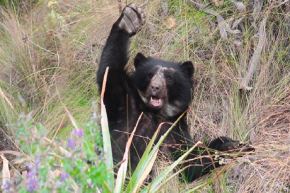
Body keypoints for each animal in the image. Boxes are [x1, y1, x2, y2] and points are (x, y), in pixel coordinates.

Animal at [97, 4, 251, 182]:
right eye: (150, 74)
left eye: (169, 78)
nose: (155, 87)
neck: (156, 114)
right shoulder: (125, 103)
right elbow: (109, 70)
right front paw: (130, 20)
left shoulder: (174, 131)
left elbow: (190, 163)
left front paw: (233, 145)